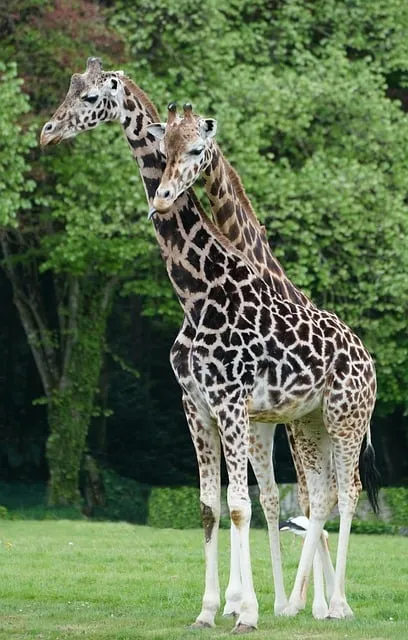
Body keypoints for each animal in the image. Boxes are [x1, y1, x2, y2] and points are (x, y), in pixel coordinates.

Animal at [148, 104, 379, 624]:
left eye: (196, 148)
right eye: (162, 149)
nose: (162, 198)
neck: (202, 295)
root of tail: (369, 358)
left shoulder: (232, 404)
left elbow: (241, 504)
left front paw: (246, 611)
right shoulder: (199, 407)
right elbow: (213, 505)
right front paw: (213, 610)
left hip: (346, 420)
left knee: (347, 492)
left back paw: (335, 605)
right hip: (312, 422)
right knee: (321, 496)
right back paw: (302, 603)